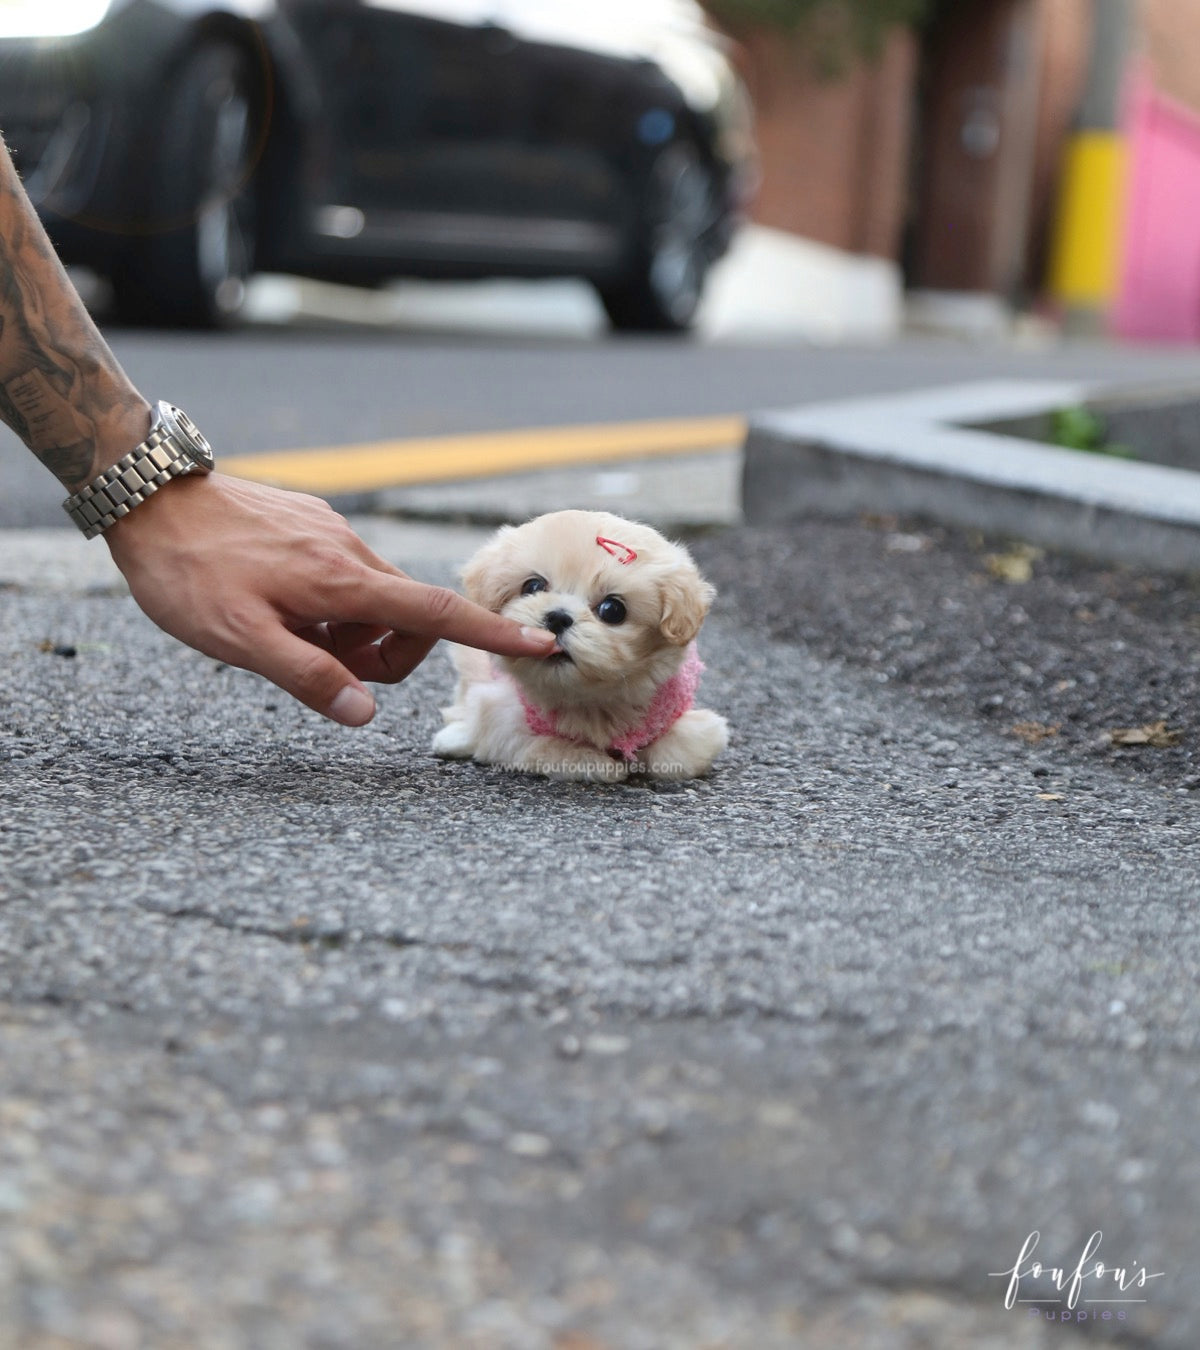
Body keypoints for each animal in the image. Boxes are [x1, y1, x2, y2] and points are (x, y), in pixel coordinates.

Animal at [431, 507, 723, 788]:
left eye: (612, 609)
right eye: (533, 586)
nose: (558, 618)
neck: (585, 699)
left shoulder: (694, 727)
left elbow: (678, 754)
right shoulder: (503, 715)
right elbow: (541, 745)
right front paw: (598, 763)